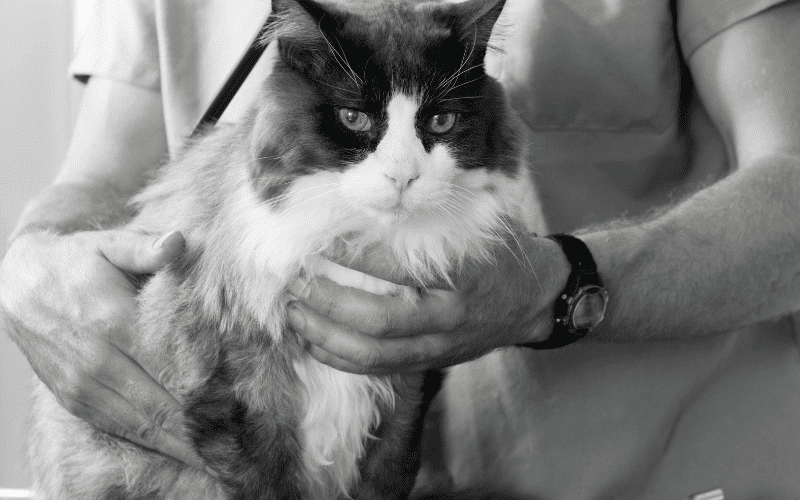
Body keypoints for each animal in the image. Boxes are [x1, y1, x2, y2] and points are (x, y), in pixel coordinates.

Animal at [29, 0, 544, 498]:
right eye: (353, 118)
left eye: (441, 121)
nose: (402, 176)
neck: (361, 243)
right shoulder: (241, 394)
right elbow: (267, 481)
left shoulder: (406, 394)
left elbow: (384, 477)